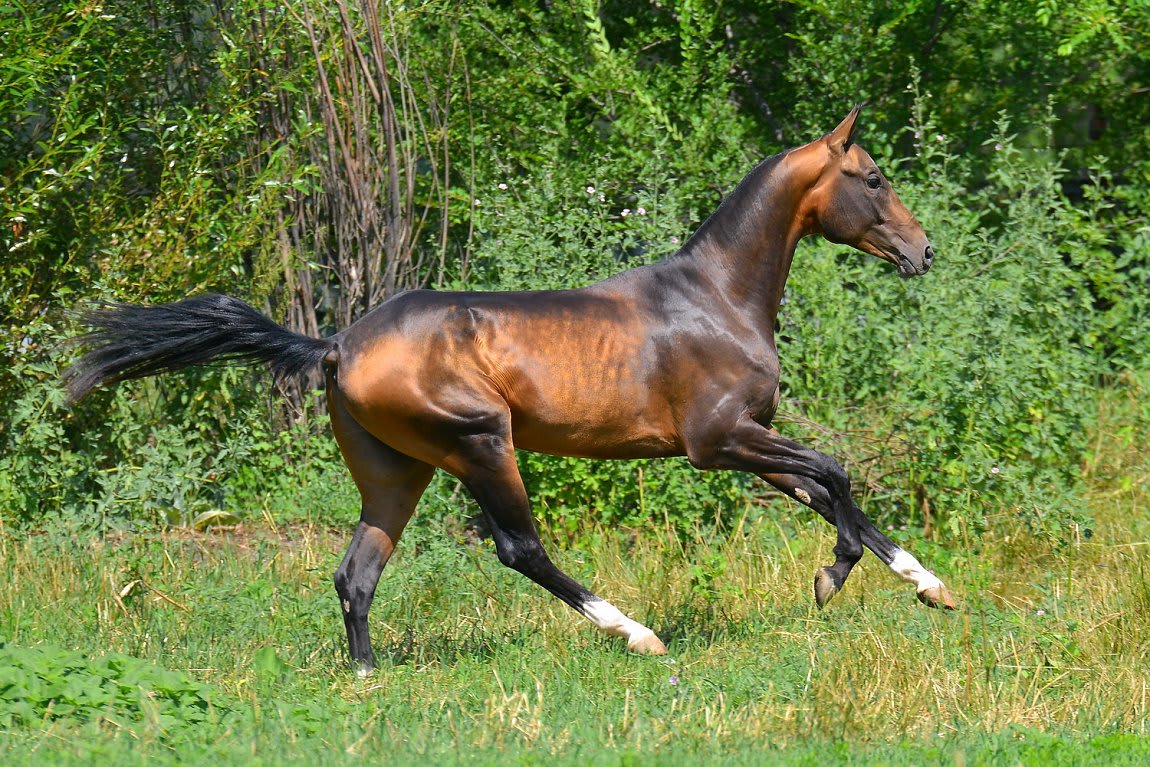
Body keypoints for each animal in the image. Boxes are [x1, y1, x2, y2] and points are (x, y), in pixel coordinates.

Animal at [65, 107, 955, 676]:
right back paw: (635, 633)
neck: (716, 296)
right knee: (518, 548)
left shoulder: (749, 441)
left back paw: (368, 675)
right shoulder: (717, 442)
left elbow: (829, 490)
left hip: (396, 472)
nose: (924, 252)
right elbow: (836, 474)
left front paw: (929, 586)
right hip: (481, 443)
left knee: (356, 572)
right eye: (874, 177)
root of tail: (337, 343)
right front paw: (833, 577)